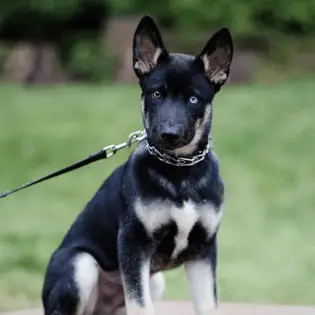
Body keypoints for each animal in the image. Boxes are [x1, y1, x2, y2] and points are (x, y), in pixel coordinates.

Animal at [42, 14, 235, 315]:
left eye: (193, 98)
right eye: (156, 94)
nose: (168, 134)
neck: (179, 171)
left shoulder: (203, 250)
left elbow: (207, 304)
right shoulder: (133, 244)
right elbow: (141, 305)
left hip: (154, 282)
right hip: (80, 265)